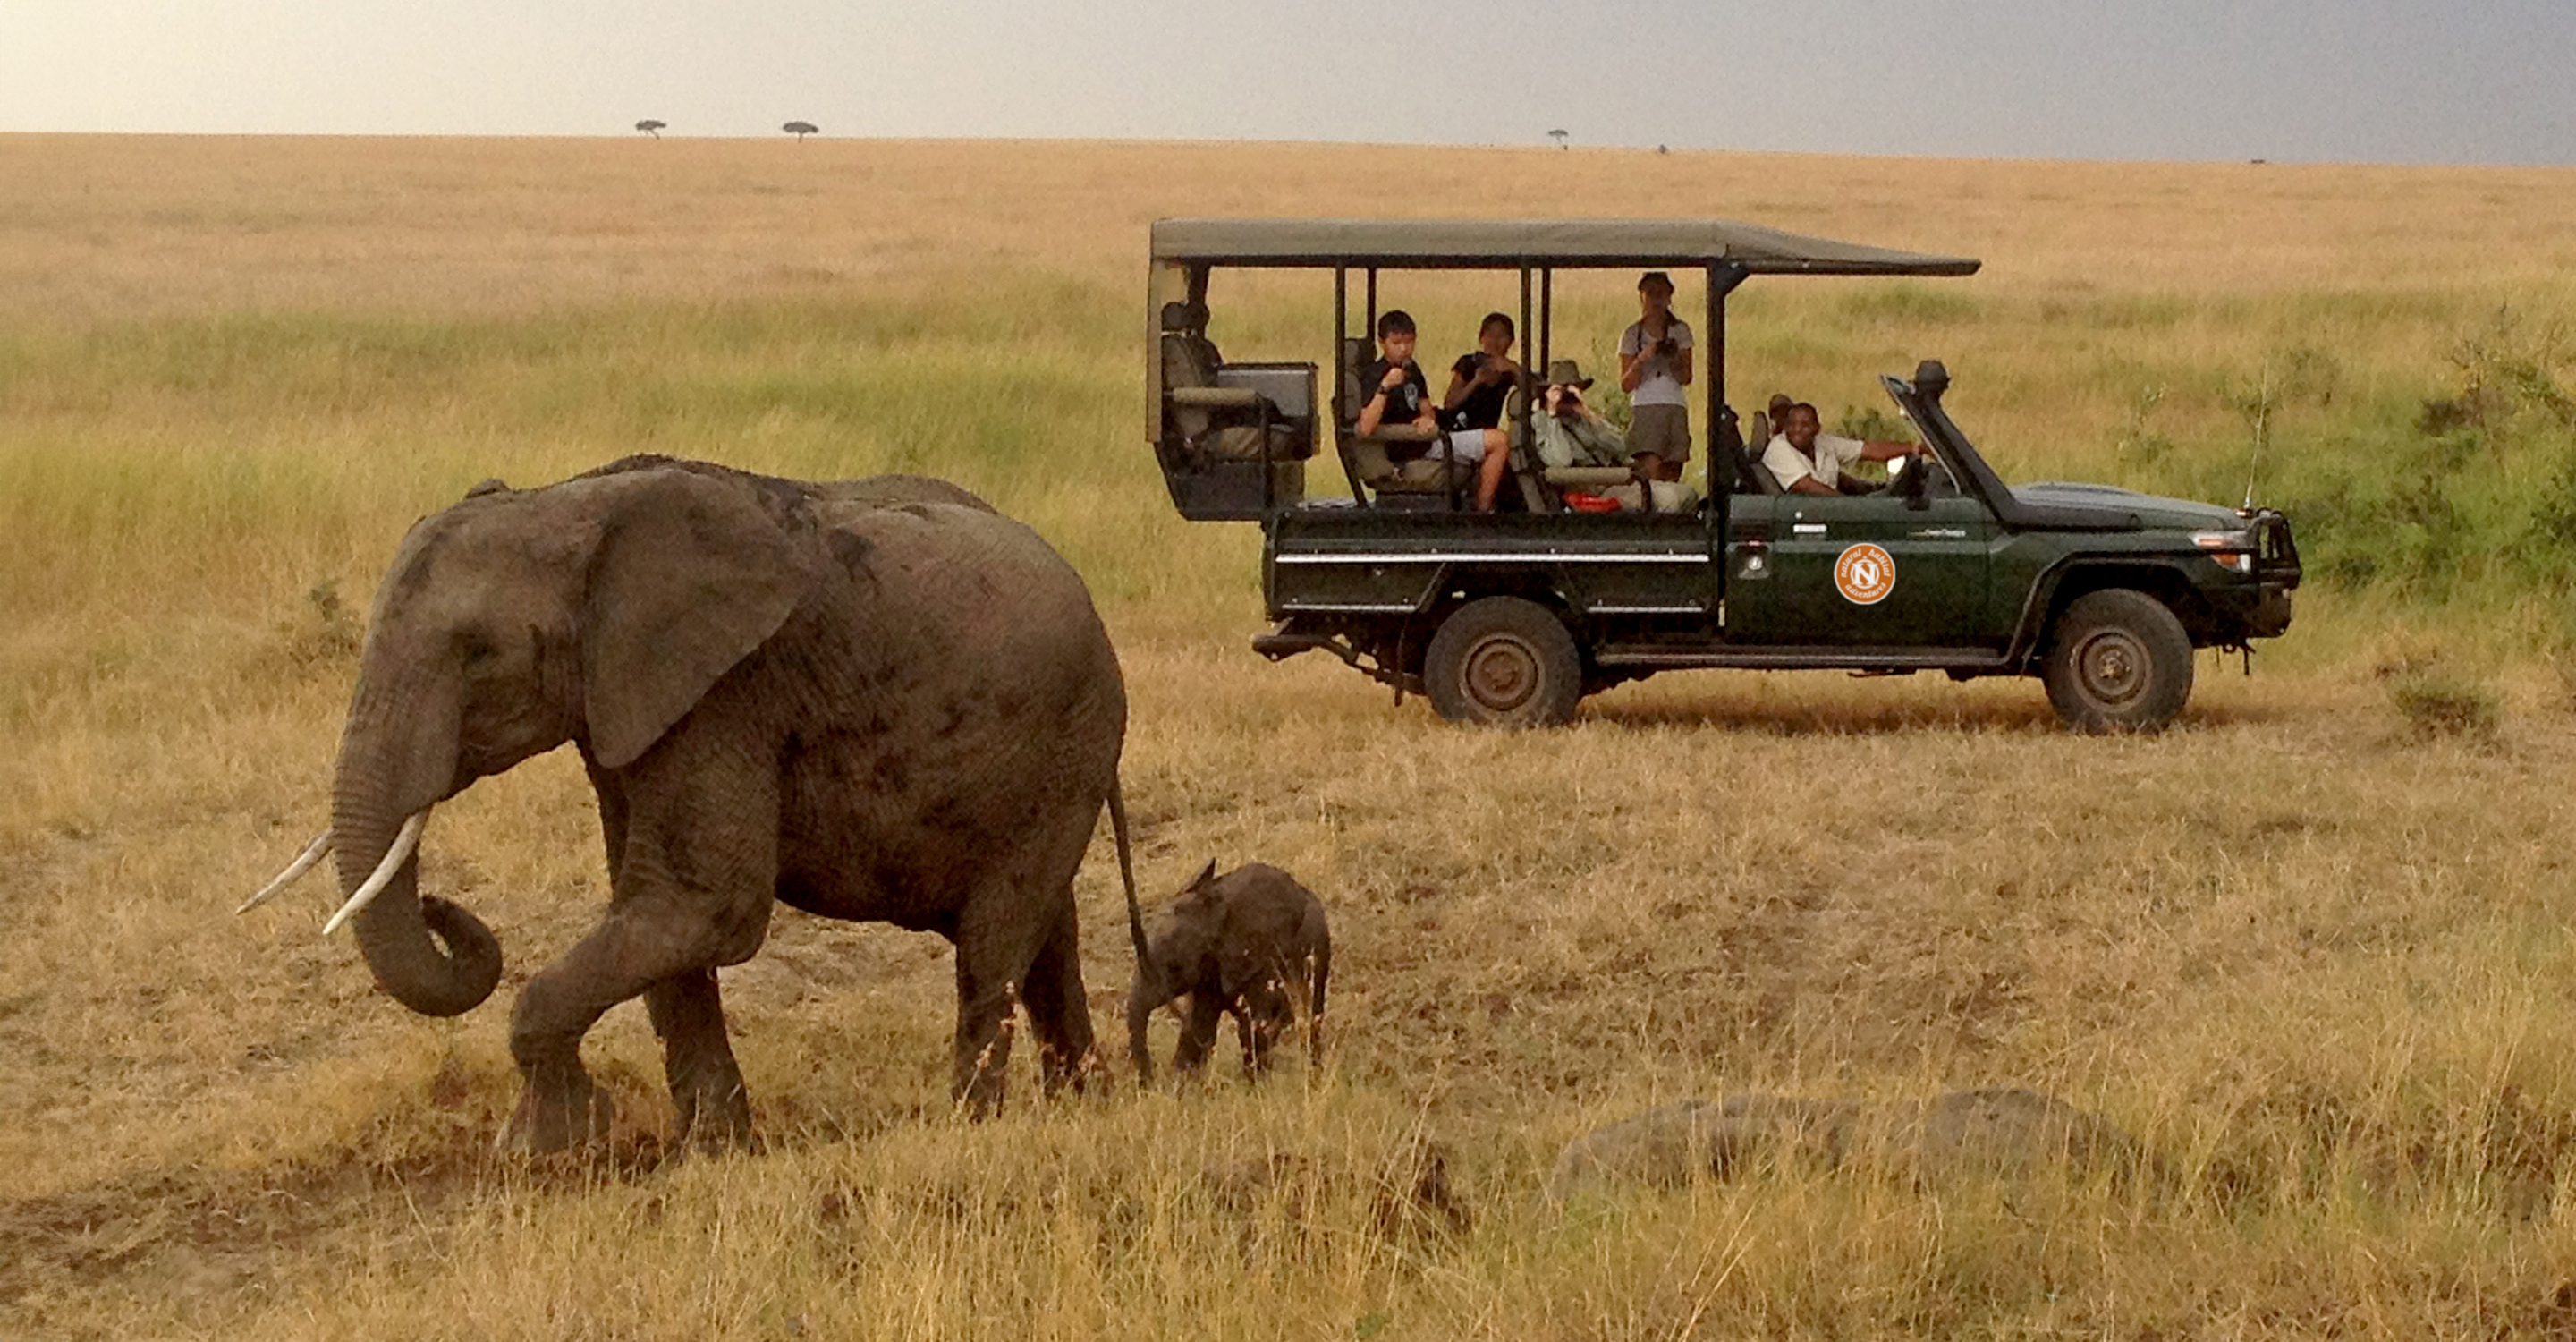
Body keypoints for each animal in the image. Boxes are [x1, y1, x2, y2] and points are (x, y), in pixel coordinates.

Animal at [258, 458, 1138, 1149]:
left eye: (478, 656)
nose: (441, 903)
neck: (571, 504)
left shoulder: (726, 695)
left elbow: (704, 907)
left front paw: (543, 1147)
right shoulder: (629, 708)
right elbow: (653, 911)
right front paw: (713, 1151)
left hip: (1073, 738)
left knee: (993, 943)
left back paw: (971, 1126)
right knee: (1048, 931)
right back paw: (1084, 1105)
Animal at [1123, 865, 1329, 1082]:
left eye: (1174, 967)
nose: (1151, 1081)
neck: (1214, 916)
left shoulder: (1264, 958)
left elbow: (1255, 1025)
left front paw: (1255, 1084)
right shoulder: (1209, 972)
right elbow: (1201, 1027)